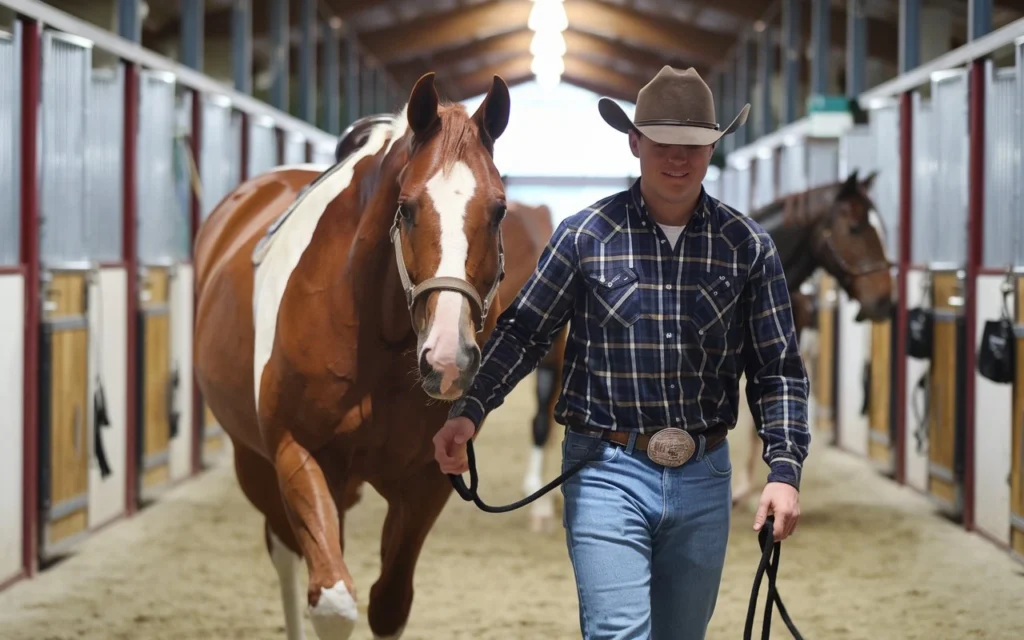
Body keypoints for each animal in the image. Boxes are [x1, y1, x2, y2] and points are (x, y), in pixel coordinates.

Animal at [192, 74, 512, 638]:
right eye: (406, 208)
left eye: (498, 210)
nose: (447, 361)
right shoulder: (300, 456)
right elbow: (332, 599)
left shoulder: (427, 477)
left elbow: (389, 603)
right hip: (255, 464)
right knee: (285, 553)